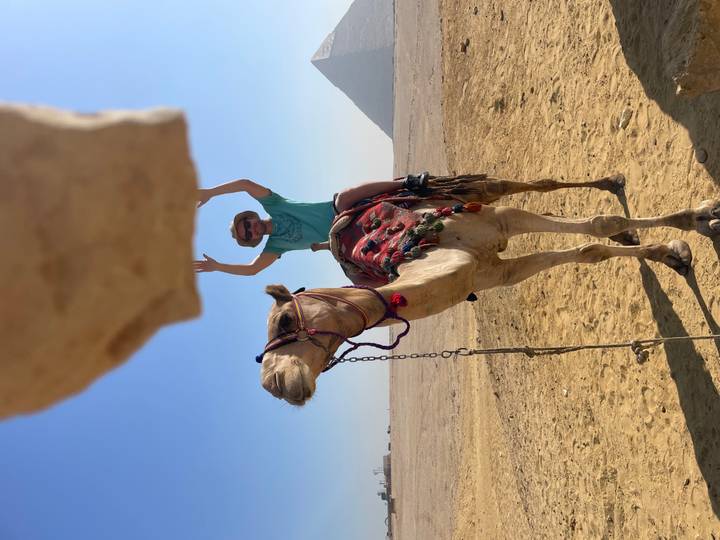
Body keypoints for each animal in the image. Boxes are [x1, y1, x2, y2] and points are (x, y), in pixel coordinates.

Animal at [258, 174, 720, 406]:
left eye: (284, 320)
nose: (276, 384)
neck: (435, 252)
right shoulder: (499, 272)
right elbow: (590, 249)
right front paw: (674, 256)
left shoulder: (500, 219)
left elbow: (598, 224)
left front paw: (700, 220)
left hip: (471, 191)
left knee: (531, 184)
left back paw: (614, 181)